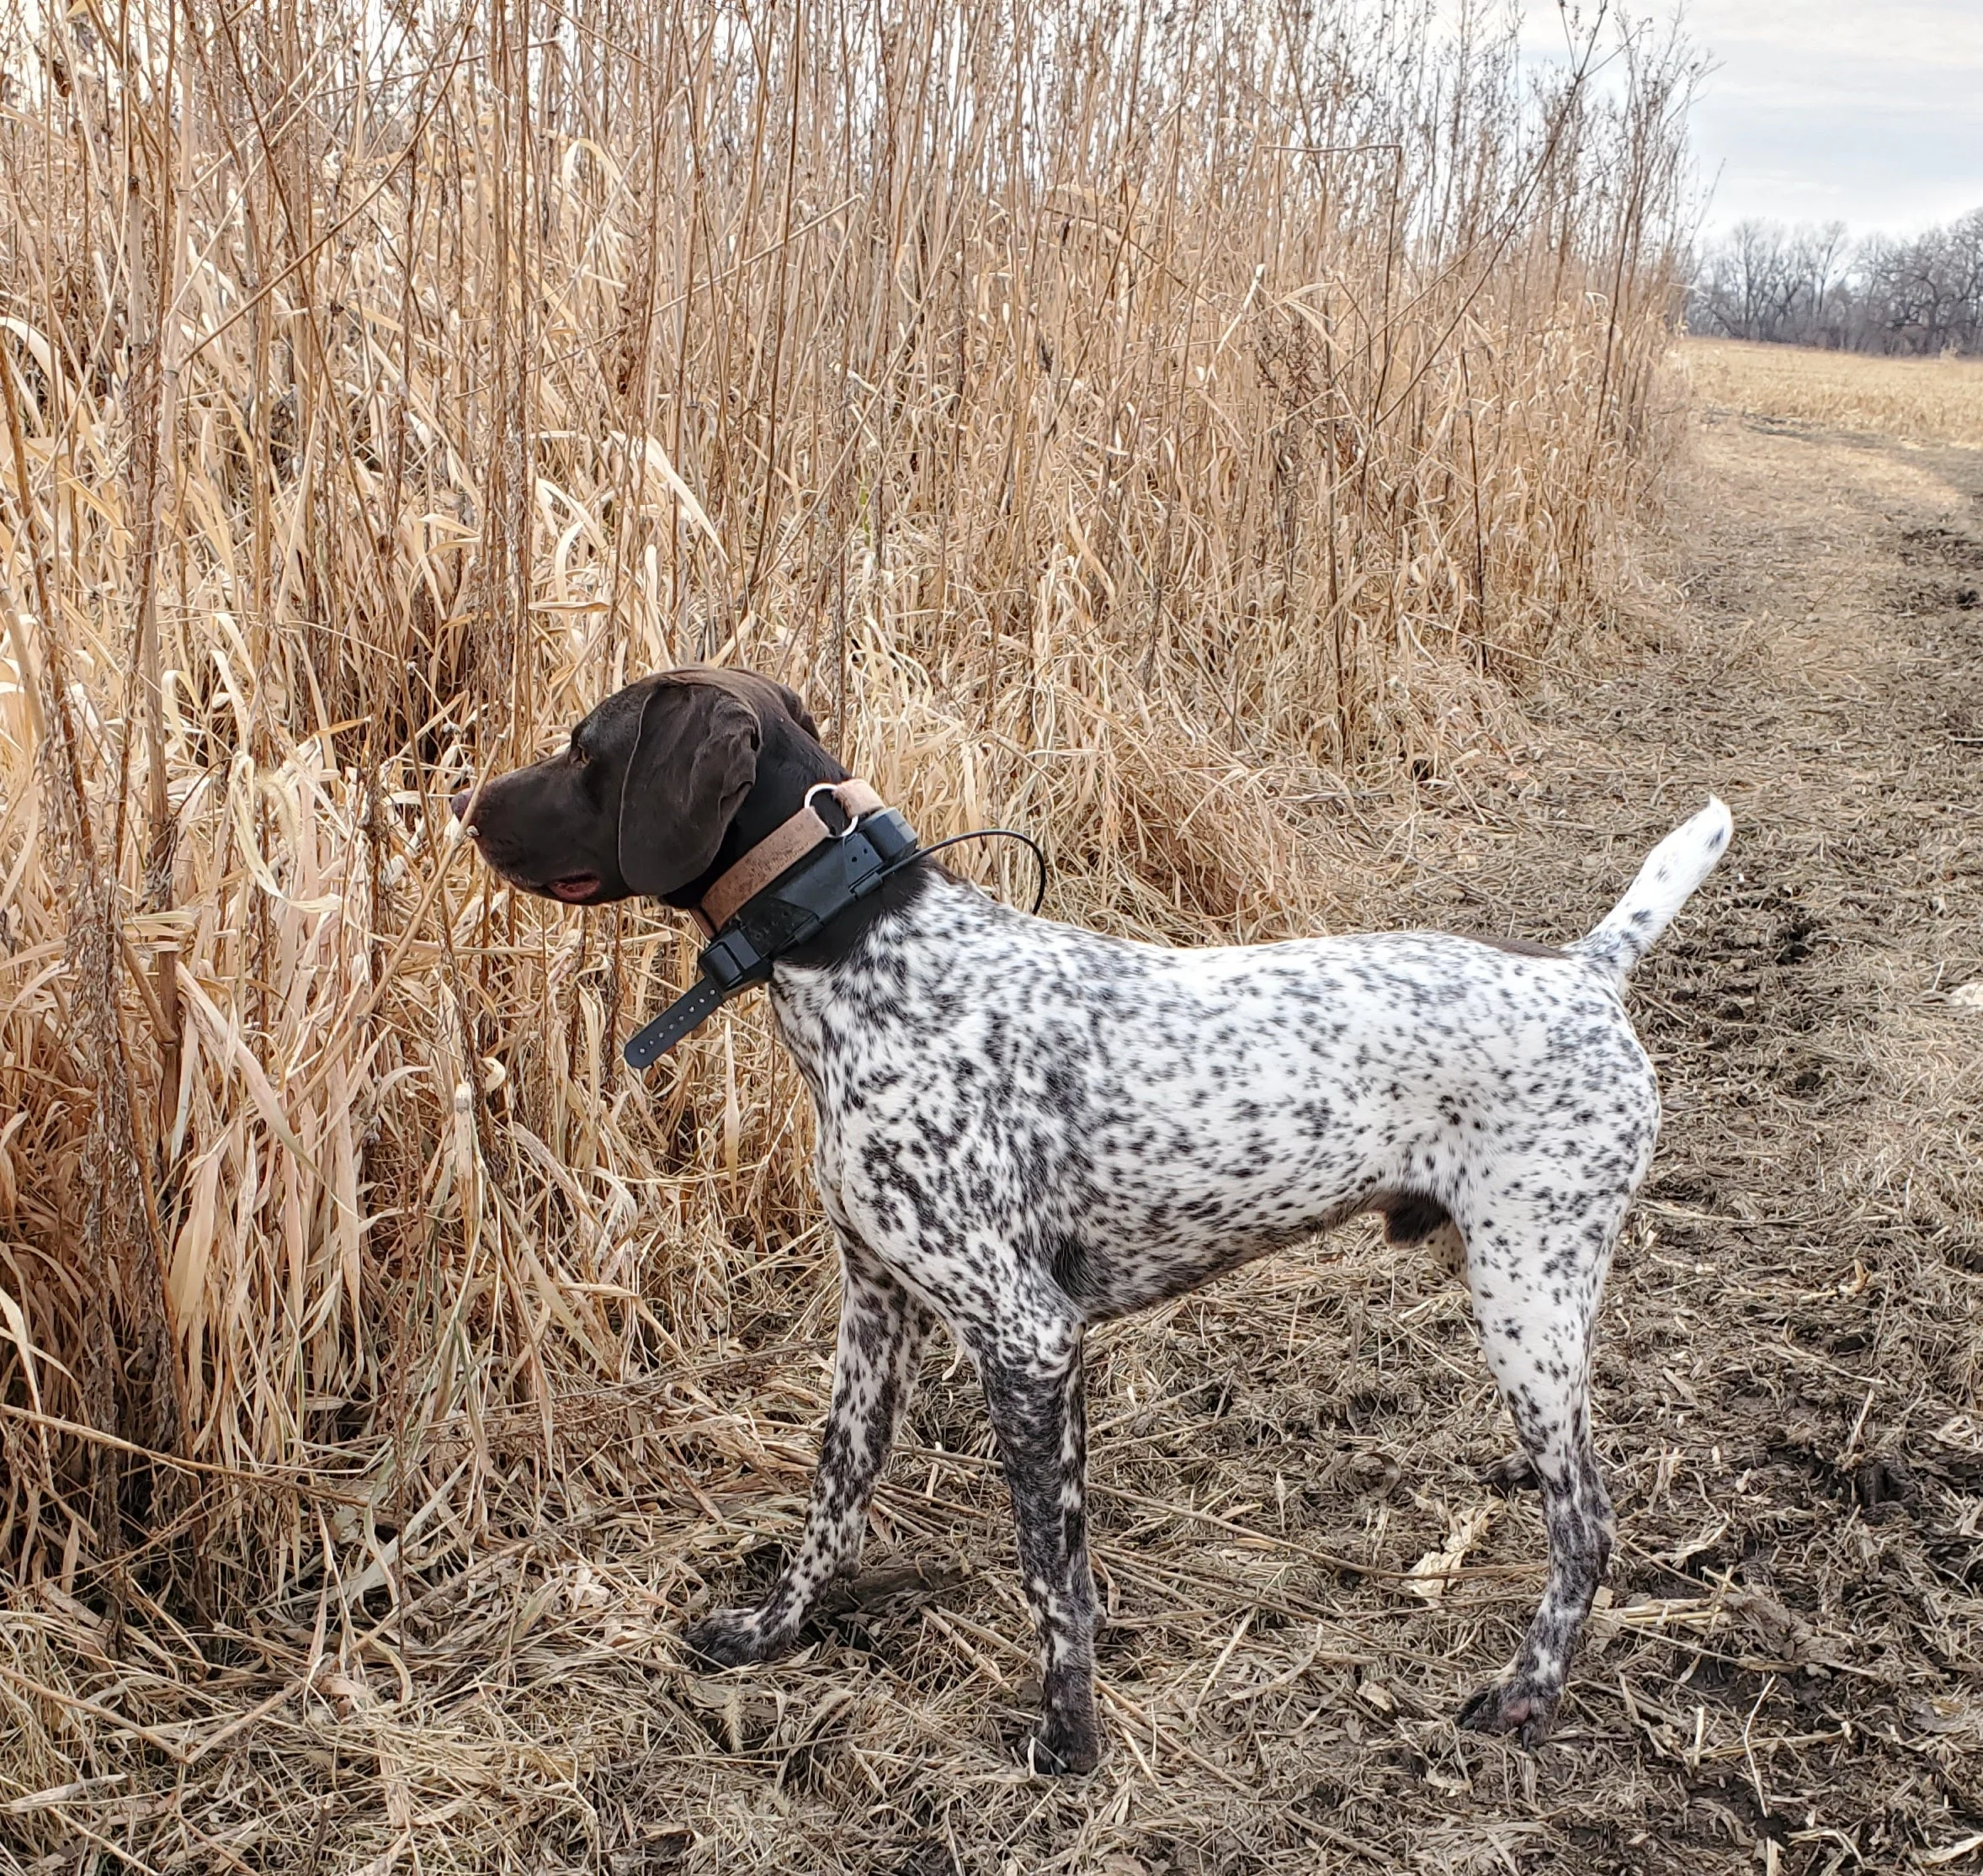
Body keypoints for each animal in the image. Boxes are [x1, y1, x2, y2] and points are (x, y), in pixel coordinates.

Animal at [455, 670, 1729, 1768]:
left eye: (586, 749)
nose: (466, 808)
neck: (867, 954)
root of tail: (1584, 971)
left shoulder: (1023, 1334)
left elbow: (1042, 1568)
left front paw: (1068, 1737)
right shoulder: (883, 1307)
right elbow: (846, 1495)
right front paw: (774, 1633)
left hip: (1526, 1294)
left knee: (1587, 1524)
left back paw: (1526, 1693)